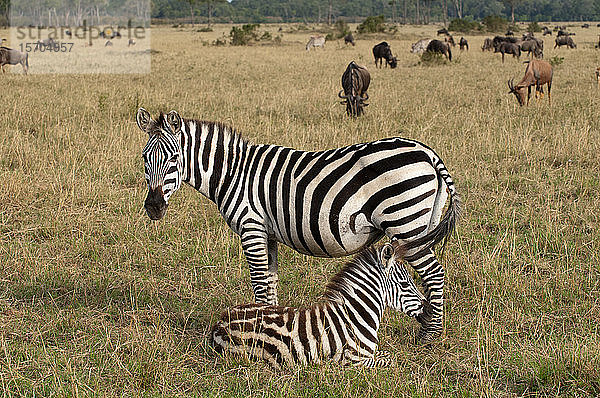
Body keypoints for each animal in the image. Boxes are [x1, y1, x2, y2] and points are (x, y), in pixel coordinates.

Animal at [138, 108, 462, 342]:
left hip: (407, 222)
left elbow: (259, 282)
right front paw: (268, 325)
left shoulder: (251, 226)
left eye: (174, 158)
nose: (153, 207)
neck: (233, 173)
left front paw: (259, 331)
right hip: (422, 225)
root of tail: (427, 153)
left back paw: (429, 336)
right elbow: (269, 283)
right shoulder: (266, 232)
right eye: (144, 158)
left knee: (435, 274)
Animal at [211, 241, 432, 368]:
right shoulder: (353, 360)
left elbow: (387, 353)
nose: (429, 309)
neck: (356, 316)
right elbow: (391, 359)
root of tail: (221, 321)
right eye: (405, 284)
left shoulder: (370, 353)